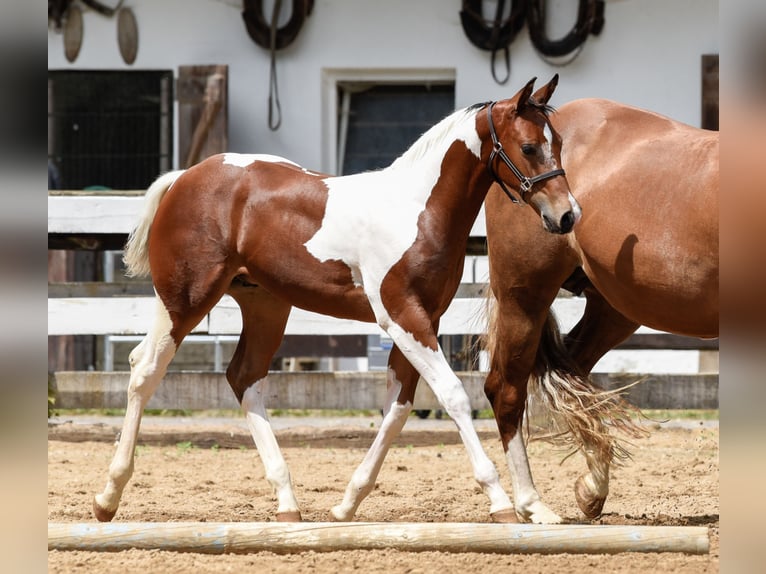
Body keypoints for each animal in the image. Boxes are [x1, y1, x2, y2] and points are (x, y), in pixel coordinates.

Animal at [91, 76, 584, 528]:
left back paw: (287, 502)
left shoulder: (424, 319)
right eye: (528, 146)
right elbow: (452, 395)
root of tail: (184, 178)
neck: (415, 209)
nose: (567, 216)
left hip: (265, 305)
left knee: (243, 377)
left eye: (557, 143)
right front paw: (499, 501)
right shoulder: (402, 316)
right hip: (185, 299)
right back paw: (108, 497)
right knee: (144, 369)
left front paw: (347, 503)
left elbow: (398, 408)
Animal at [486, 98, 720, 528]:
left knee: (576, 371)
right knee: (505, 390)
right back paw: (529, 505)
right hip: (523, 299)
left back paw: (592, 489)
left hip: (613, 308)